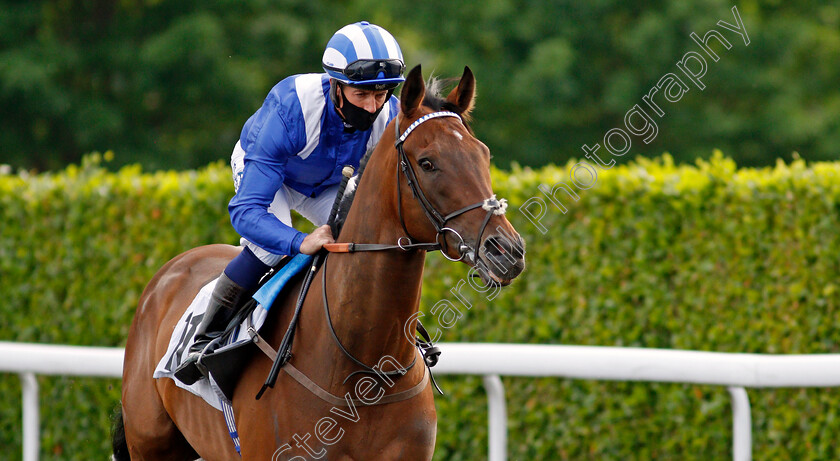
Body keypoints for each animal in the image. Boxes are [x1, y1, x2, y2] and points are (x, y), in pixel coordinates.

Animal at [116, 65, 524, 460]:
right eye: (427, 163)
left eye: (484, 155)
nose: (507, 251)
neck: (364, 366)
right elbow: (248, 208)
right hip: (151, 445)